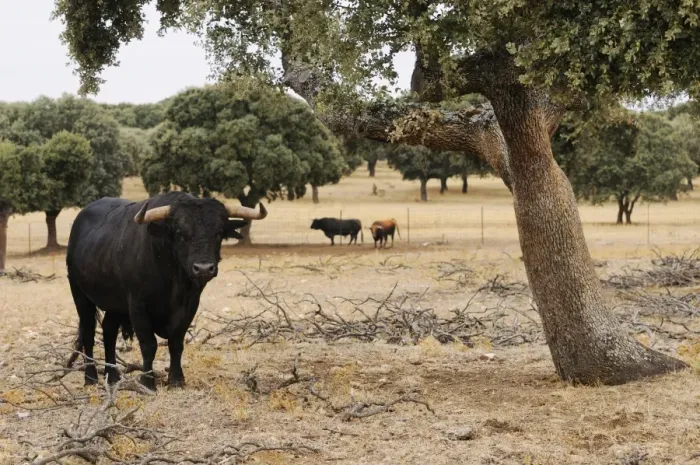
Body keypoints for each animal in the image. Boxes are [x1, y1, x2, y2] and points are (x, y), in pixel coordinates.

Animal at [66, 191, 267, 390]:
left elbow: (176, 342)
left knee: (109, 331)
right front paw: (148, 381)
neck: (174, 281)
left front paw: (176, 379)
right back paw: (90, 377)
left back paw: (113, 376)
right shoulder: (137, 305)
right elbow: (149, 345)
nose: (203, 269)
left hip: (115, 302)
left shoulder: (190, 305)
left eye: (218, 233)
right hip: (79, 294)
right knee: (88, 333)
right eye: (180, 233)